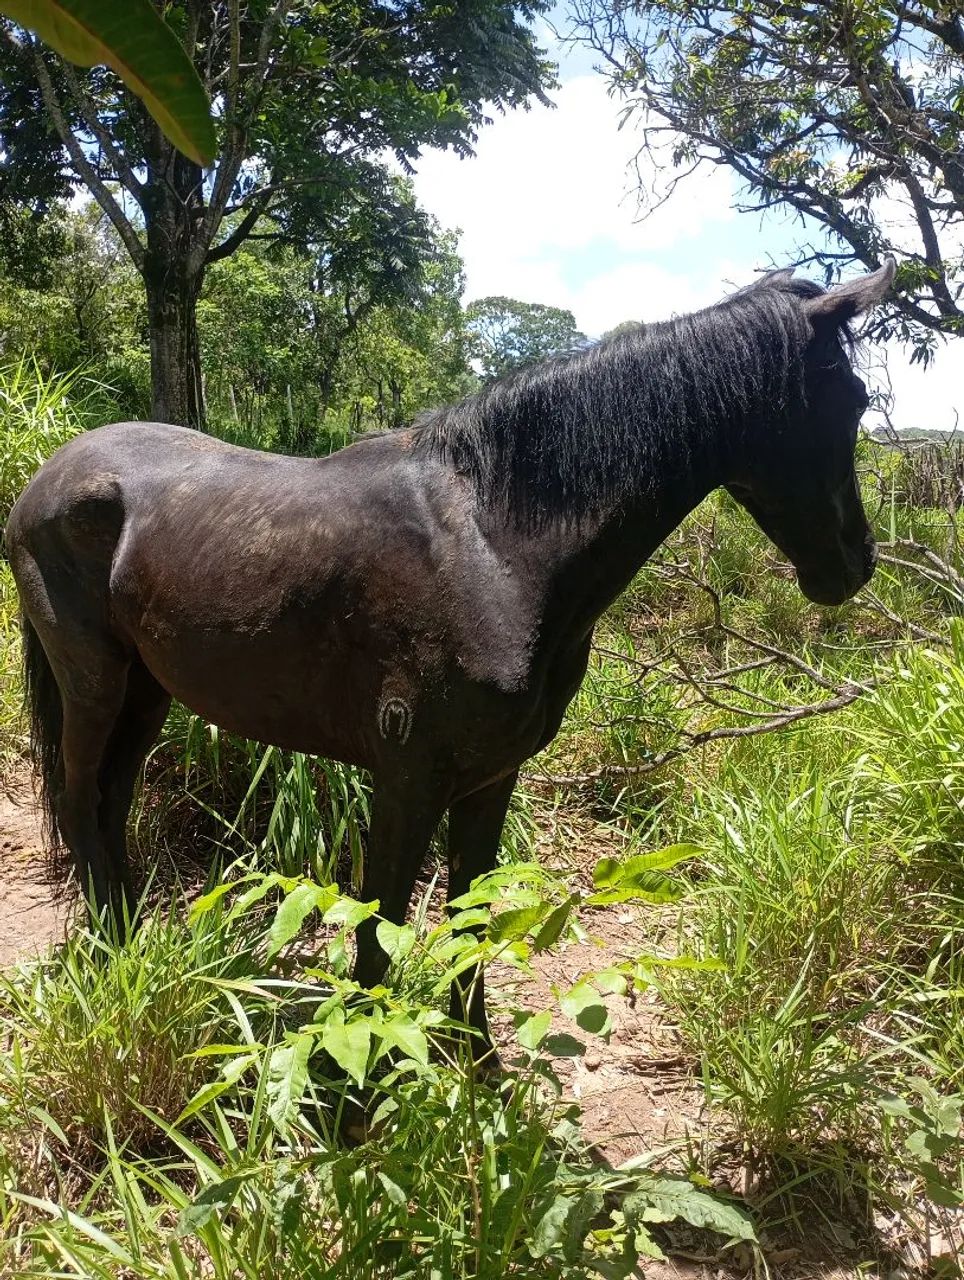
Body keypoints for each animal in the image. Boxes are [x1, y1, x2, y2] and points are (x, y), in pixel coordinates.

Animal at [5, 261, 892, 1064]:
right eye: (851, 399)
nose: (855, 565)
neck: (493, 547)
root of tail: (46, 482)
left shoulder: (490, 776)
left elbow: (469, 915)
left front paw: (480, 1064)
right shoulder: (407, 777)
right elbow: (382, 925)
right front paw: (357, 1083)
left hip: (148, 692)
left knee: (113, 798)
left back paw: (138, 940)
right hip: (95, 684)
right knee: (80, 797)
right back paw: (115, 956)